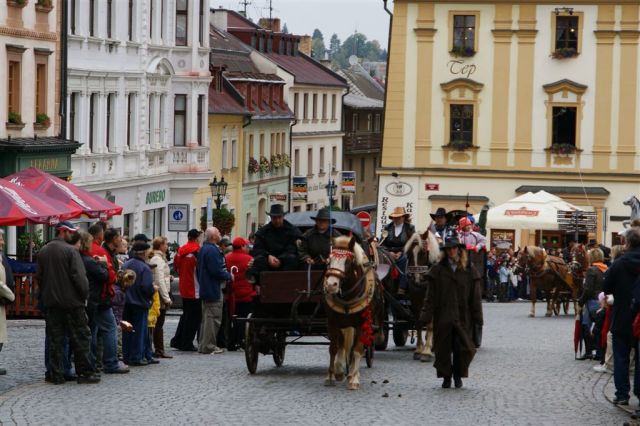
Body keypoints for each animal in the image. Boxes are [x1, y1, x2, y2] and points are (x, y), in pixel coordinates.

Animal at [322, 235, 378, 392]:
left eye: (347, 261)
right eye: (328, 260)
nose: (331, 285)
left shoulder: (363, 323)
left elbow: (357, 350)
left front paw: (353, 379)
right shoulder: (333, 322)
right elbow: (334, 348)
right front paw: (331, 376)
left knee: (355, 348)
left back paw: (352, 372)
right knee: (342, 345)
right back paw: (341, 371)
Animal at [402, 231, 442, 362]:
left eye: (423, 253)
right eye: (408, 253)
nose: (416, 278)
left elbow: (430, 325)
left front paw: (427, 351)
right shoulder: (415, 298)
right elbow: (419, 322)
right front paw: (419, 349)